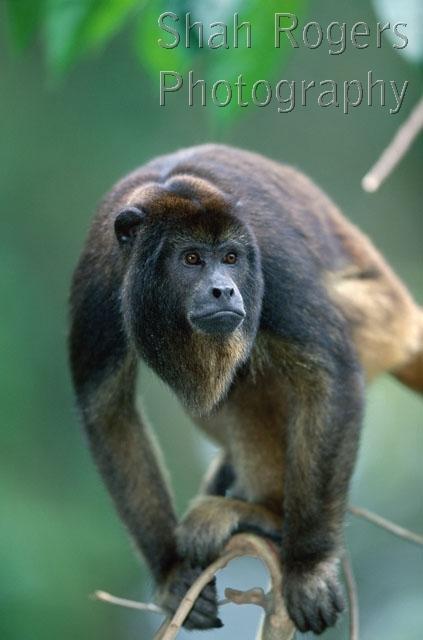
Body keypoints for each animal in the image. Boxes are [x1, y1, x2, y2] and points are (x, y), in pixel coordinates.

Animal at [69, 144, 423, 635]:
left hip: (376, 321)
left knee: (254, 376)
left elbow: (328, 372)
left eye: (232, 258)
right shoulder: (99, 276)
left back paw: (265, 514)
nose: (225, 290)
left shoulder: (269, 257)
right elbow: (107, 412)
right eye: (192, 259)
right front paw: (170, 571)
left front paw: (309, 567)